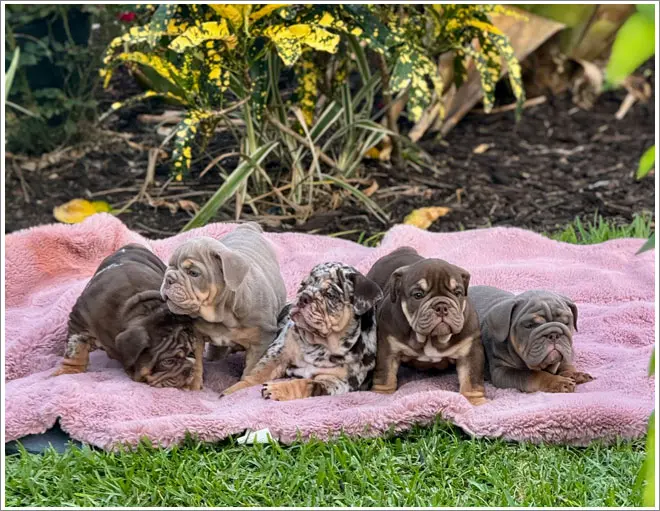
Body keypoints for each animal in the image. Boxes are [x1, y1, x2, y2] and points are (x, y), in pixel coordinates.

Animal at [53, 246, 205, 390]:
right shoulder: (80, 321)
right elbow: (75, 349)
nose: (188, 368)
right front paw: (69, 371)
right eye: (168, 362)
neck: (145, 311)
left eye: (192, 353)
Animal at [162, 224, 286, 380]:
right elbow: (196, 365)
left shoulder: (261, 342)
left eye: (194, 273)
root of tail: (248, 226)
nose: (168, 278)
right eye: (170, 266)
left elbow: (251, 371)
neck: (223, 315)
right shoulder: (197, 335)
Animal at [223, 262, 382, 402]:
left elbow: (307, 384)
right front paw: (233, 391)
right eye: (303, 285)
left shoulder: (338, 382)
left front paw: (277, 389)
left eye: (330, 295)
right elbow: (256, 375)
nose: (304, 297)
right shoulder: (278, 352)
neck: (320, 343)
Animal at [366, 246, 484, 406]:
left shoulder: (470, 350)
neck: (431, 338)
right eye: (418, 295)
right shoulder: (388, 346)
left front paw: (475, 401)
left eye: (458, 293)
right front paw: (381, 395)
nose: (442, 306)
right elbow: (385, 372)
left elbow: (472, 378)